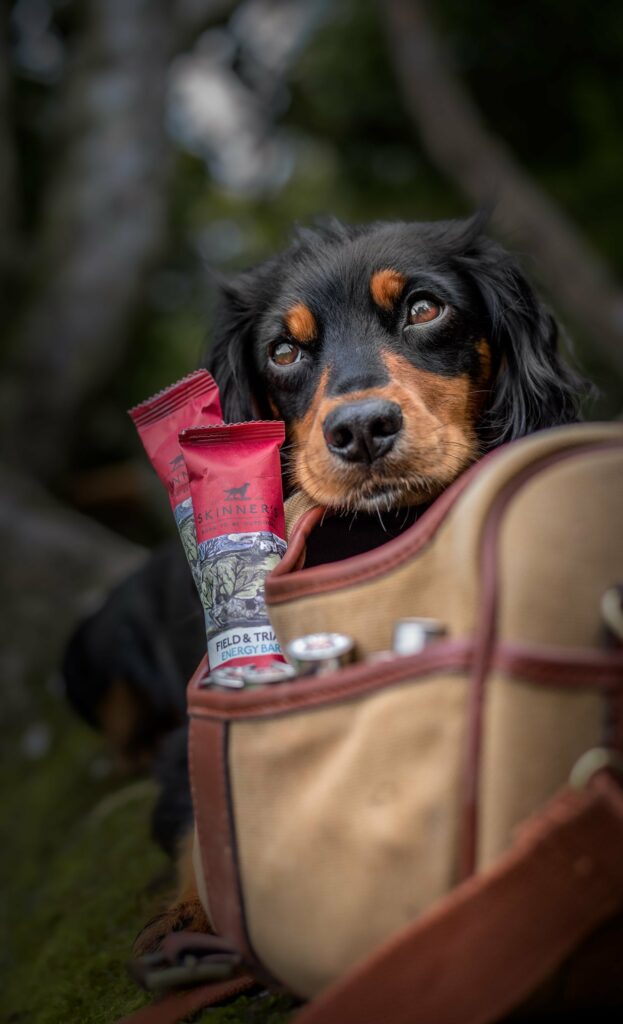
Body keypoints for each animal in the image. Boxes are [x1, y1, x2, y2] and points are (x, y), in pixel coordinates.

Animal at [60, 214, 586, 950]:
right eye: (283, 351)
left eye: (424, 309)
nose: (361, 430)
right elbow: (196, 809)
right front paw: (189, 913)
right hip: (90, 651)